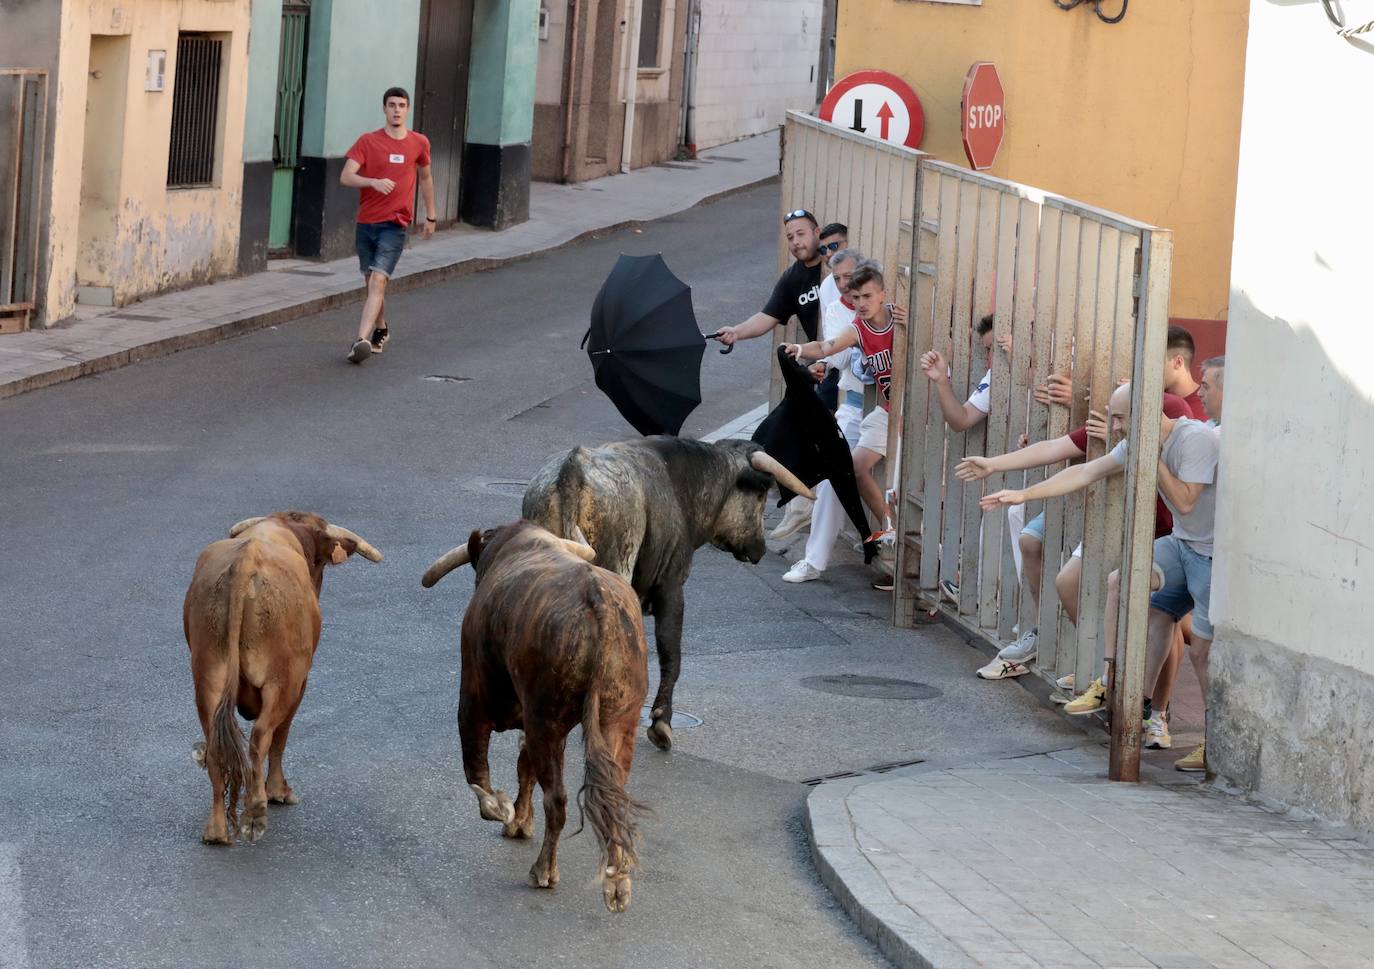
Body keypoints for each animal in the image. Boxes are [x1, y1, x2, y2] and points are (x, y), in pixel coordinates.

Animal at [184, 511, 381, 841]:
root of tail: (247, 559)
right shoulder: (300, 682)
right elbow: (282, 736)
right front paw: (278, 791)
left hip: (208, 679)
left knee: (216, 746)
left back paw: (217, 830)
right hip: (283, 680)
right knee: (263, 735)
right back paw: (256, 811)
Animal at [420, 516, 651, 912]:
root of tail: (598, 601)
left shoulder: (475, 698)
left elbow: (477, 768)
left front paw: (502, 810)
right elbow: (523, 766)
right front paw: (517, 822)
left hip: (548, 720)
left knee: (556, 800)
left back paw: (543, 870)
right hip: (619, 721)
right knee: (613, 795)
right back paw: (617, 882)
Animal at [519, 437, 807, 747]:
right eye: (761, 496)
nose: (760, 549)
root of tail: (572, 470)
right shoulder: (670, 587)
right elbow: (672, 655)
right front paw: (661, 722)